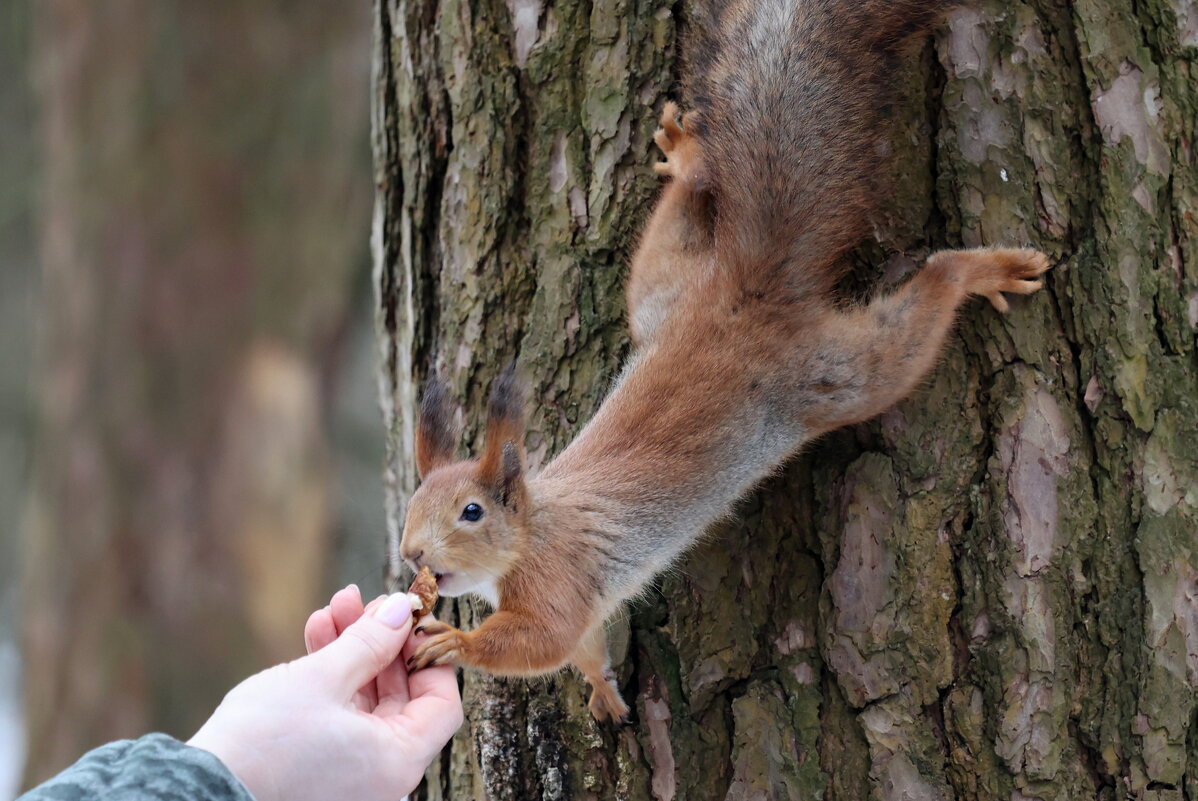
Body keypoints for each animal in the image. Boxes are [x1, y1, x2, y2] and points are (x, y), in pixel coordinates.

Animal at [400, 0, 1049, 723]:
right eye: (412, 502)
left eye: (471, 512)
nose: (410, 554)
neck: (531, 529)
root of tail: (745, 293)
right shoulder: (581, 601)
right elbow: (584, 646)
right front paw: (602, 689)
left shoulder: (556, 580)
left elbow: (540, 642)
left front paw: (455, 640)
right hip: (660, 294)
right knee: (682, 218)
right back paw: (687, 157)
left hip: (836, 376)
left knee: (919, 312)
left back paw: (979, 270)